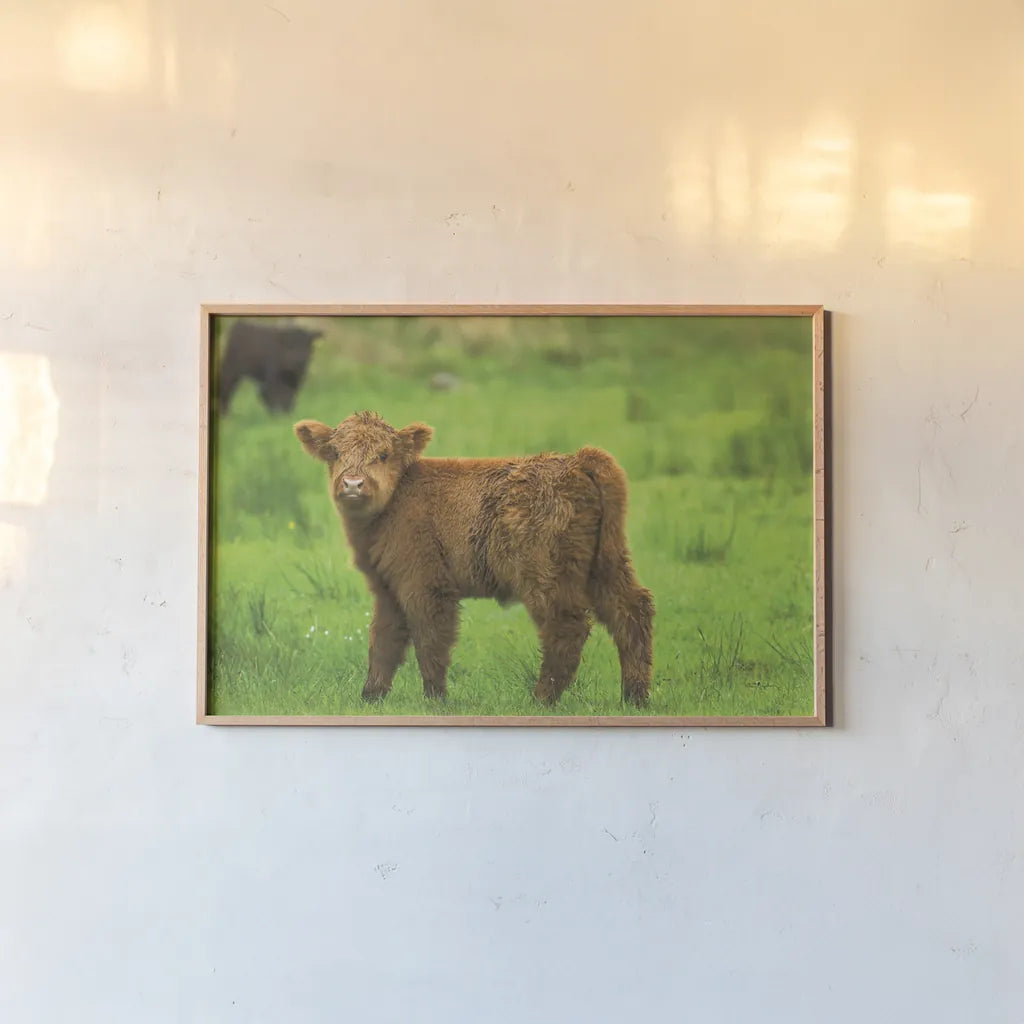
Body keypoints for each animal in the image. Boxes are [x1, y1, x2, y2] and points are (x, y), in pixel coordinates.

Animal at [294, 411, 654, 705]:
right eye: (335, 452)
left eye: (383, 454)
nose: (352, 484)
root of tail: (577, 460)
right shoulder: (387, 588)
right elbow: (383, 640)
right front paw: (371, 696)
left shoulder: (425, 583)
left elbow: (430, 640)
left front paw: (435, 699)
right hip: (607, 564)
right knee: (631, 611)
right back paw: (634, 697)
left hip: (546, 573)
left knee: (568, 625)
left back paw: (541, 698)